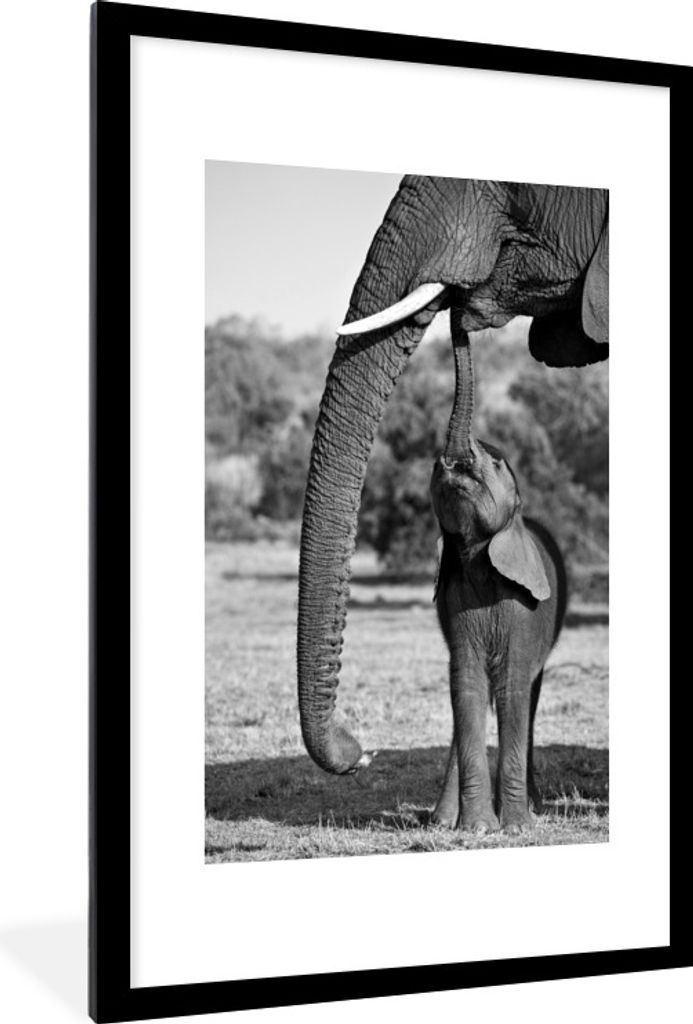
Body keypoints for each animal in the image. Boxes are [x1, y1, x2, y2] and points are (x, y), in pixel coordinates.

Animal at [429, 326, 567, 832]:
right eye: (436, 467)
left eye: (496, 467)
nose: (453, 462)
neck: (477, 554)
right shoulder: (455, 599)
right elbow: (466, 684)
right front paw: (476, 828)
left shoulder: (524, 609)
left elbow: (511, 686)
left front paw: (516, 827)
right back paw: (441, 820)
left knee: (528, 693)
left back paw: (531, 807)